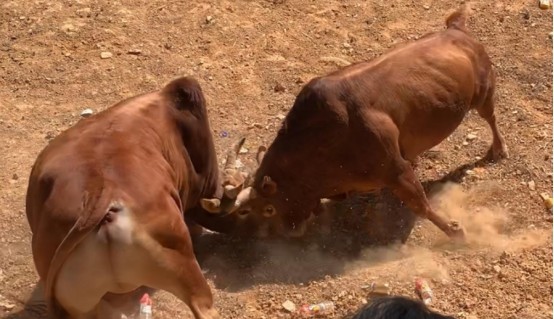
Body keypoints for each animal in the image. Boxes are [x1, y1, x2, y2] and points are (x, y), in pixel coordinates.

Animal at [202, 7, 504, 241]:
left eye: (265, 209)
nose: (282, 233)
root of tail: (456, 29)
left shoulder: (396, 171)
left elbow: (421, 205)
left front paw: (455, 231)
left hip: (484, 93)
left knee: (490, 117)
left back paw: (498, 150)